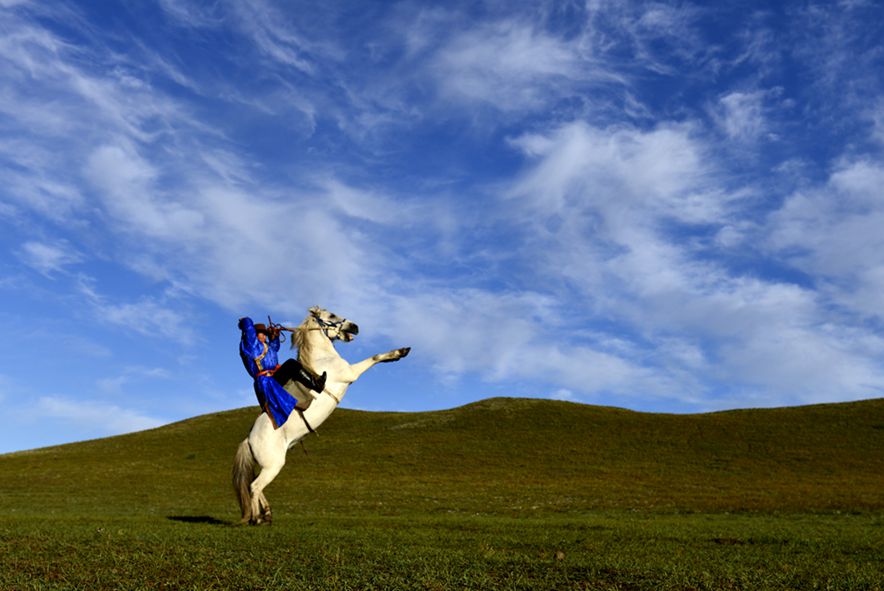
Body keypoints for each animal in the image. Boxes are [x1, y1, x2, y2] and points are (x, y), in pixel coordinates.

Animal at [231, 308, 410, 524]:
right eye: (331, 315)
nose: (355, 327)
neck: (322, 360)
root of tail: (248, 439)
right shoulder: (350, 373)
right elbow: (374, 358)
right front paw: (399, 353)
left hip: (268, 466)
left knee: (257, 486)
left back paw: (267, 513)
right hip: (273, 465)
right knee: (255, 486)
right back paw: (257, 518)